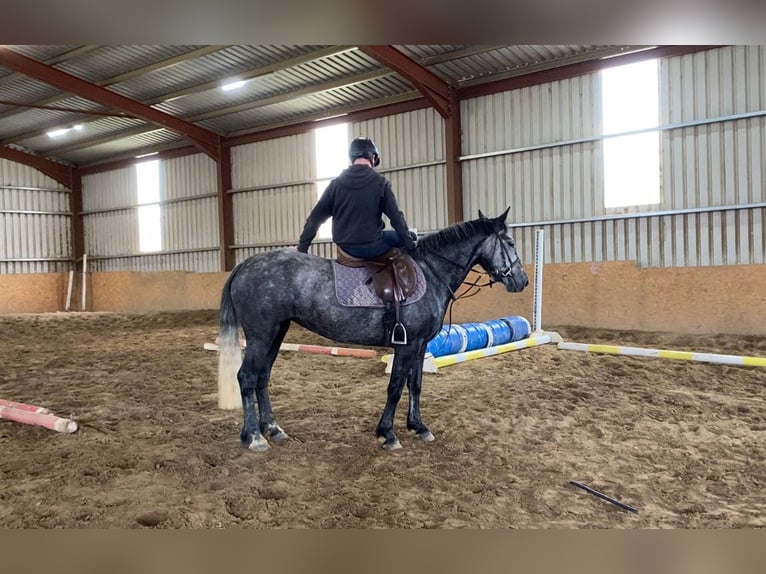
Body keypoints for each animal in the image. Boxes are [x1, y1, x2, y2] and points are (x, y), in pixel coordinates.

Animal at [216, 209, 528, 452]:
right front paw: (388, 433)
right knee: (246, 377)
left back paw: (272, 428)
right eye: (511, 242)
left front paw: (418, 426)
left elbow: (415, 385)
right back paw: (254, 437)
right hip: (260, 335)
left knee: (262, 377)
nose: (523, 281)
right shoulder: (407, 344)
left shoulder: (421, 346)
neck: (431, 272)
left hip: (276, 333)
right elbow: (395, 387)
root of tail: (243, 266)